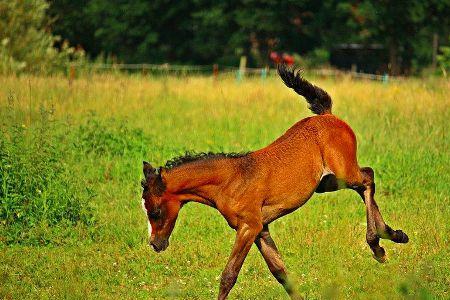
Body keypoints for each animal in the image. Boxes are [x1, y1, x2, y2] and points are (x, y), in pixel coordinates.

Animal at [141, 64, 408, 298]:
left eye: (154, 212)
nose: (155, 244)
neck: (231, 180)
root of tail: (328, 116)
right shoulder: (262, 229)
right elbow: (281, 272)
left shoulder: (249, 228)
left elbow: (229, 275)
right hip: (325, 184)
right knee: (365, 183)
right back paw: (392, 235)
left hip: (344, 173)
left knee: (367, 178)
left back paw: (378, 244)